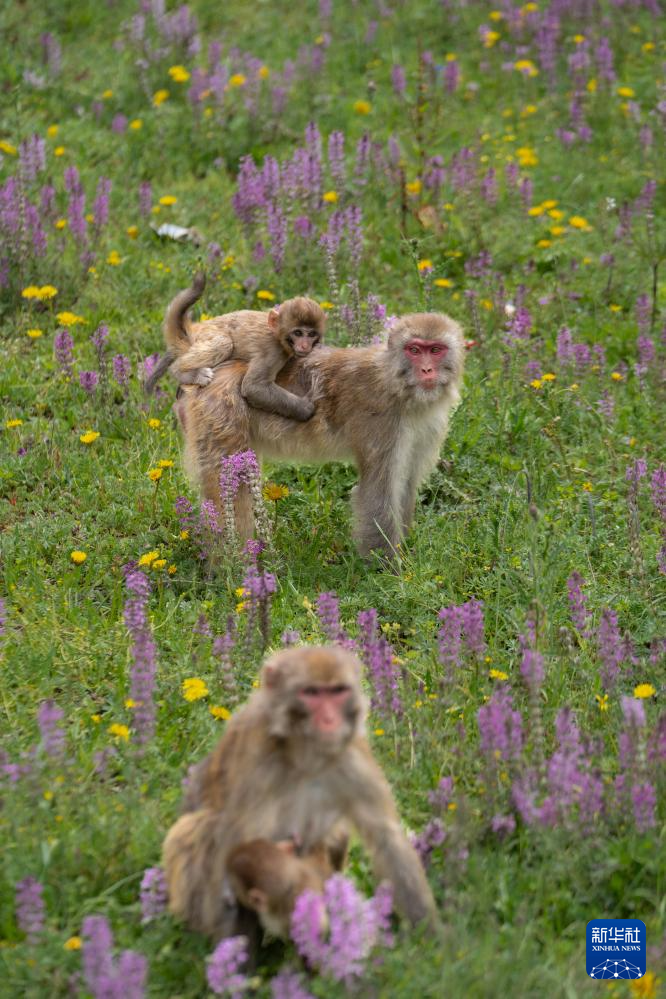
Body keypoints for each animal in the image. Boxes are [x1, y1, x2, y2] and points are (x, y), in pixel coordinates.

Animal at [145, 276, 324, 424]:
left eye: (311, 334)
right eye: (298, 333)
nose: (305, 345)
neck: (278, 334)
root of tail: (196, 328)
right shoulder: (273, 351)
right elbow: (254, 387)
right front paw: (305, 408)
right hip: (204, 338)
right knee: (224, 343)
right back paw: (185, 372)